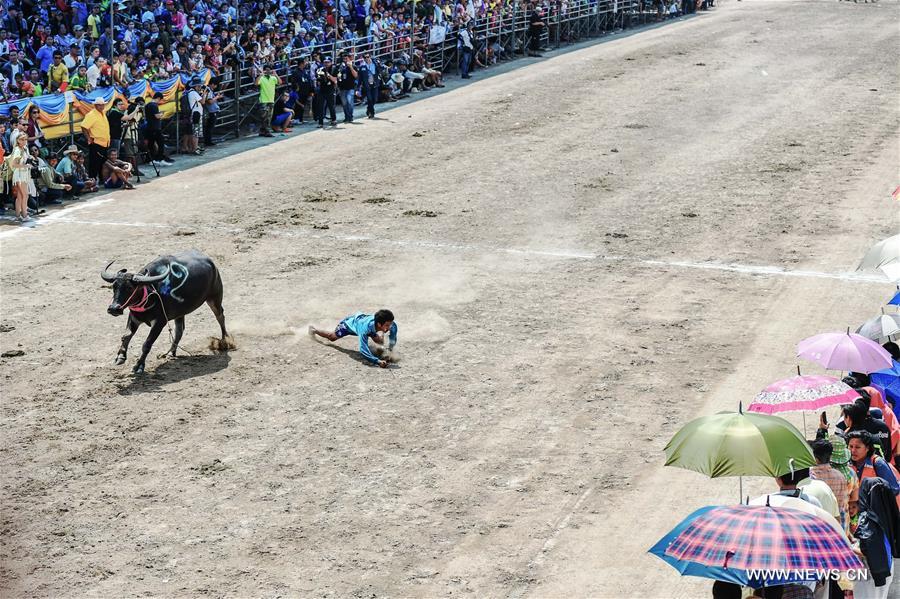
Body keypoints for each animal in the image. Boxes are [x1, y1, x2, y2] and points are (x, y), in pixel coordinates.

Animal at [101, 250, 232, 372]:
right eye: (114, 286)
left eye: (129, 287)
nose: (114, 308)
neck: (150, 294)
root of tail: (212, 264)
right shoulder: (134, 317)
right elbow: (126, 336)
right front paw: (120, 357)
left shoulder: (160, 322)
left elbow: (147, 344)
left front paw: (139, 365)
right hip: (180, 312)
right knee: (179, 330)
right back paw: (170, 352)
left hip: (214, 298)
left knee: (220, 316)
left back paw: (225, 341)